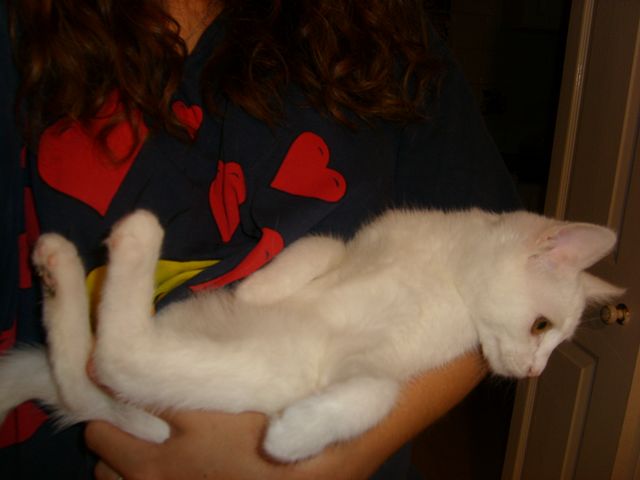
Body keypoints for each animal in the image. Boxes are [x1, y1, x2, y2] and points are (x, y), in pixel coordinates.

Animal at [0, 208, 623, 461]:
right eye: (541, 326)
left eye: (555, 343)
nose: (537, 370)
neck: (446, 273)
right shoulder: (360, 242)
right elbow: (317, 246)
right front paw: (257, 291)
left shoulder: (367, 366)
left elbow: (375, 394)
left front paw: (293, 436)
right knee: (101, 361)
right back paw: (105, 248)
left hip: (201, 376)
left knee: (97, 362)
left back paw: (73, 261)